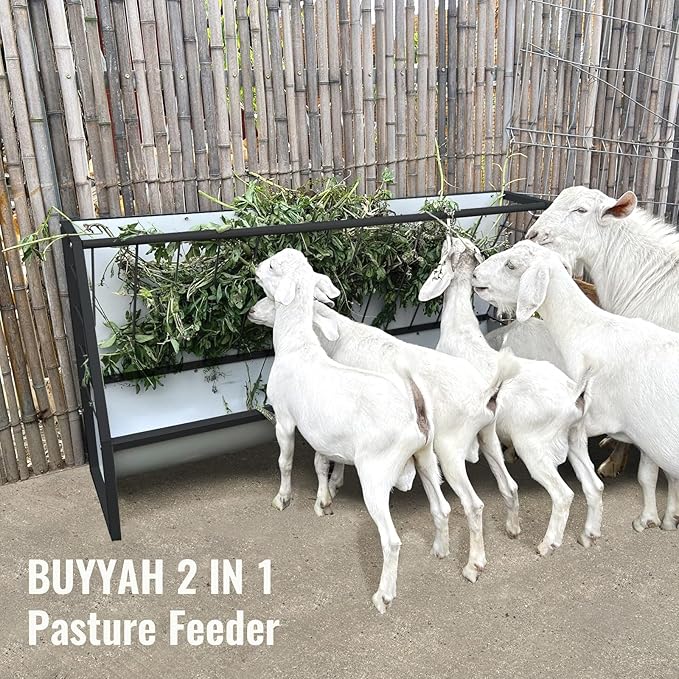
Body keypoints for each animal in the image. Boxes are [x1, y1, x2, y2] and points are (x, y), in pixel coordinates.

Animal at [249, 291, 522, 583]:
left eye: (275, 301)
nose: (252, 311)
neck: (338, 338)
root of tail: (486, 393)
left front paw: (317, 492)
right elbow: (328, 457)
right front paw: (330, 490)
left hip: (450, 448)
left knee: (473, 504)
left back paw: (473, 565)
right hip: (487, 435)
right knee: (508, 484)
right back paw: (512, 528)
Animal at [254, 248, 451, 612]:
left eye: (272, 267)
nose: (256, 267)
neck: (297, 346)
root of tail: (415, 414)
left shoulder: (286, 419)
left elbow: (285, 462)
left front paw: (282, 498)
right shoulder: (322, 435)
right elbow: (320, 464)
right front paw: (323, 501)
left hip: (376, 473)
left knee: (391, 541)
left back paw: (383, 595)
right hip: (426, 457)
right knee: (442, 507)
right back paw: (441, 550)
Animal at [418, 235, 604, 554]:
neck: (460, 329)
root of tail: (574, 394)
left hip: (534, 446)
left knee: (564, 494)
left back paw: (547, 544)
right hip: (576, 439)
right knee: (594, 486)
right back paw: (588, 535)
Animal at [471, 239, 679, 533]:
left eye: (511, 265)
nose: (475, 275)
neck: (589, 330)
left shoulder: (602, 417)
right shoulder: (645, 432)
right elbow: (650, 475)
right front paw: (660, 518)